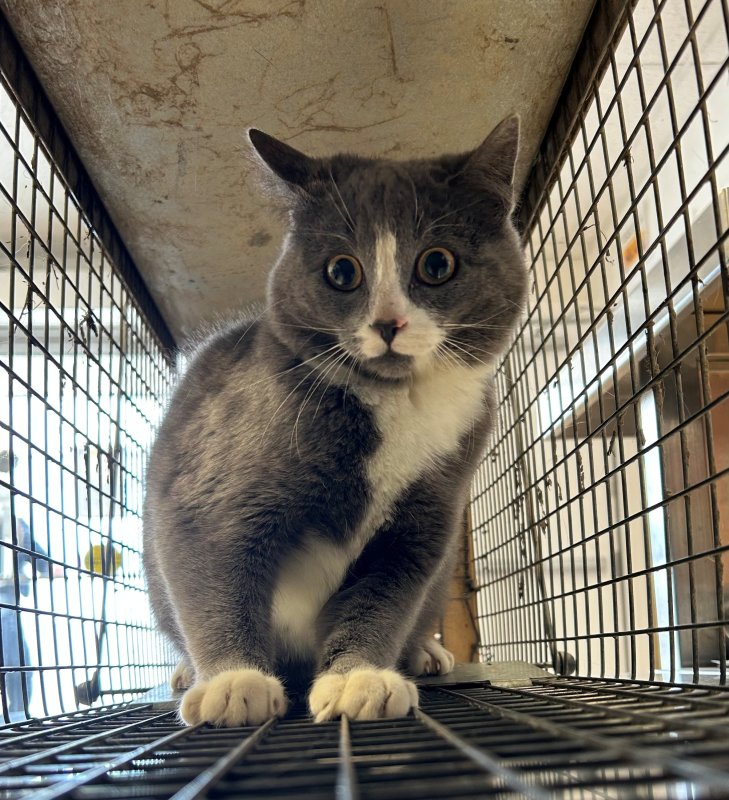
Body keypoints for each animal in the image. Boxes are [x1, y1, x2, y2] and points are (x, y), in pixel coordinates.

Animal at [142, 116, 527, 726]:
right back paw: (187, 672)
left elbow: (385, 596)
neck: (397, 401)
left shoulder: (425, 519)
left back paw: (424, 652)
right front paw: (234, 682)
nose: (388, 323)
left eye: (437, 264)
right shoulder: (210, 480)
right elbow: (215, 571)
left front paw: (357, 677)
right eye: (342, 271)